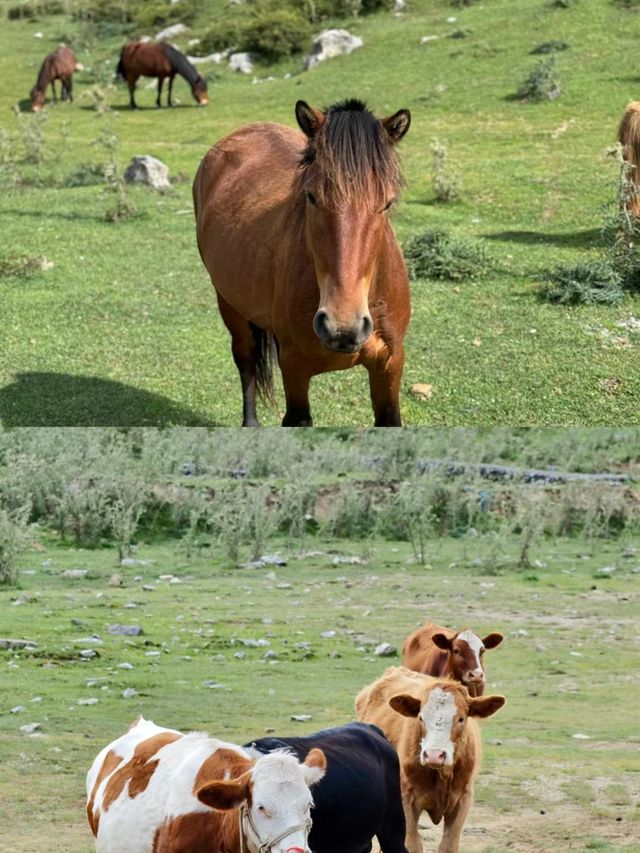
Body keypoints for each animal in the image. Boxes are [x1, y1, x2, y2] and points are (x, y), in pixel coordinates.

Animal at [194, 97, 410, 426]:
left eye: (386, 202)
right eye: (311, 196)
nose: (342, 328)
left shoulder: (391, 362)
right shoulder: (295, 367)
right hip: (229, 303)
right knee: (245, 358)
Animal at [356, 664, 504, 852]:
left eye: (461, 718)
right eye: (421, 717)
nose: (434, 755)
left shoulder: (463, 798)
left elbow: (448, 845)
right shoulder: (406, 798)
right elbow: (412, 844)